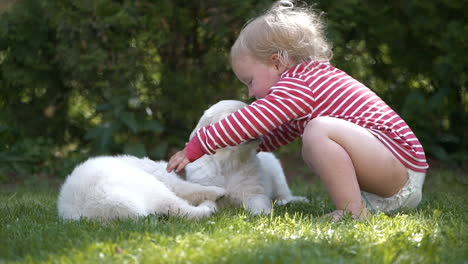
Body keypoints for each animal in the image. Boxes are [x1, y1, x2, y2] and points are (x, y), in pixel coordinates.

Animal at [57, 155, 226, 221]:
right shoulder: (170, 182)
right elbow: (192, 188)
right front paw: (218, 192)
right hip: (152, 187)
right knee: (184, 210)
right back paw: (210, 205)